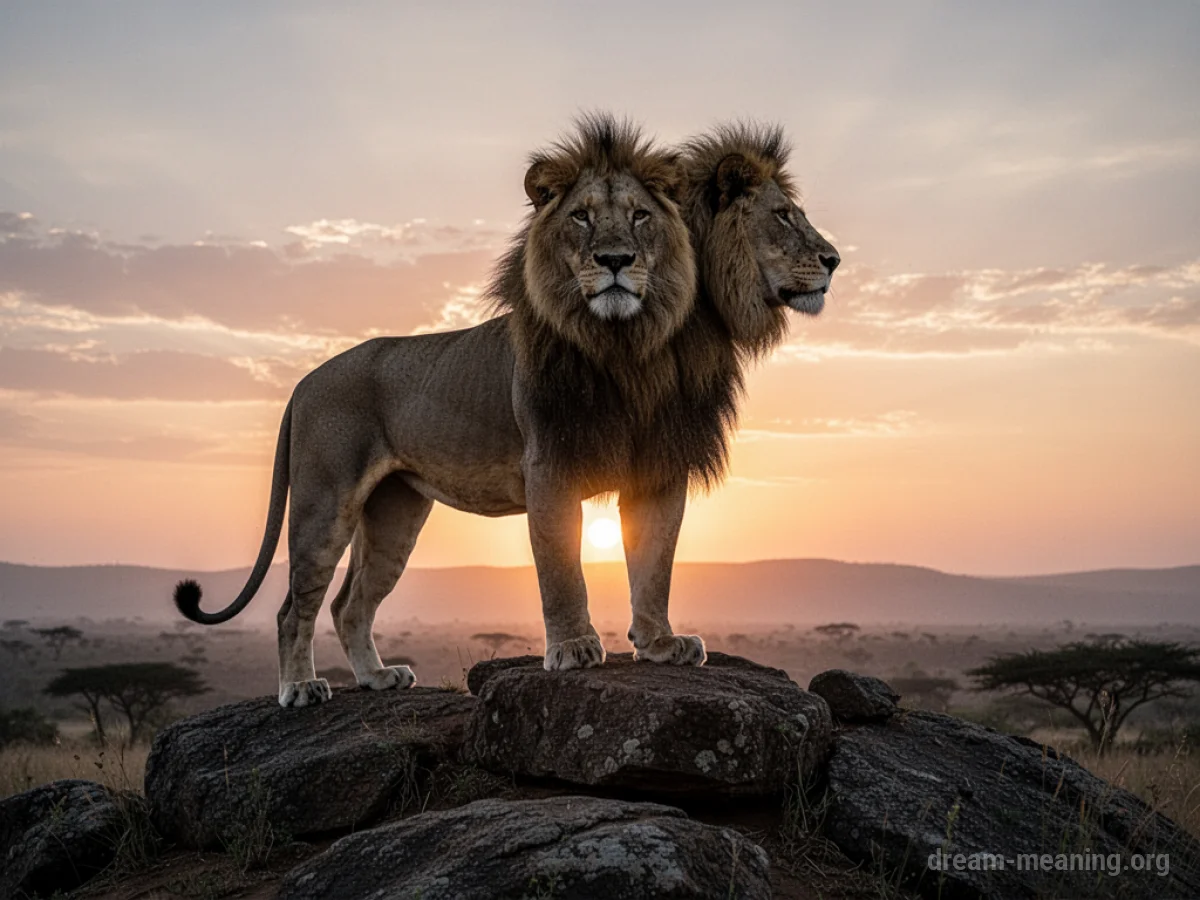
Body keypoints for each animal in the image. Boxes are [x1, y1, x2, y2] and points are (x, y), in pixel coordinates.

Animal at [174, 116, 726, 707]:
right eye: (581, 216)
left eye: (640, 215)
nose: (616, 260)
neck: (621, 346)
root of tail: (304, 381)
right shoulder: (548, 467)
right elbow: (562, 570)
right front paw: (574, 648)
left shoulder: (658, 471)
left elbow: (655, 565)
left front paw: (661, 644)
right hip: (324, 503)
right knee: (292, 608)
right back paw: (300, 688)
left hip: (394, 514)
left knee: (350, 604)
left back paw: (377, 677)